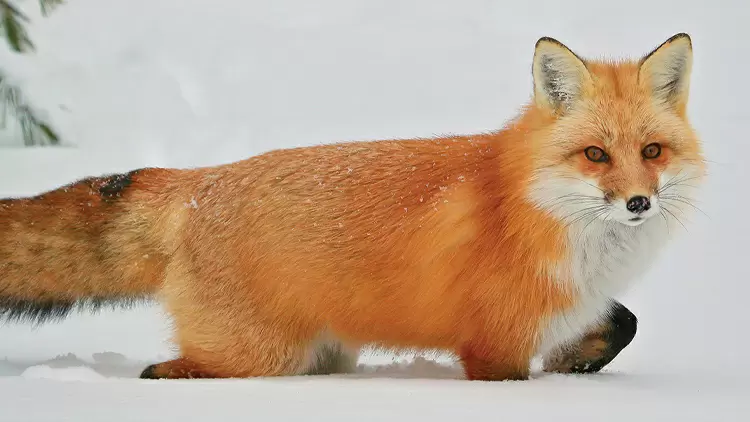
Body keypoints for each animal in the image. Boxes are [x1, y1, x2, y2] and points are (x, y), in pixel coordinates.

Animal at [0, 33, 704, 381]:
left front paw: (577, 366)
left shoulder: (573, 304)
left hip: (323, 353)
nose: (638, 201)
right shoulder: (493, 350)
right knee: (167, 370)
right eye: (594, 155)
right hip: (258, 356)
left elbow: (622, 322)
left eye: (651, 150)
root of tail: (200, 181)